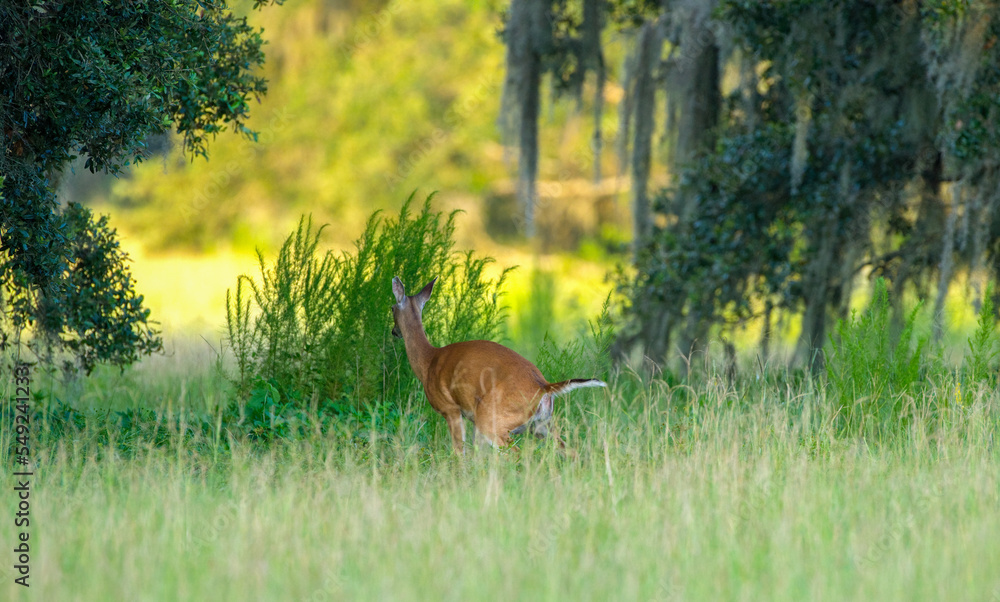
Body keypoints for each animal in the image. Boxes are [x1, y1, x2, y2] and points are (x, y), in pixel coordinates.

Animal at [390, 276, 606, 453]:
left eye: (392, 308)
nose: (394, 331)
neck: (428, 362)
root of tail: (544, 386)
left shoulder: (450, 409)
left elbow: (460, 452)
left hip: (492, 419)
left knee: (516, 453)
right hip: (541, 425)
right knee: (570, 450)